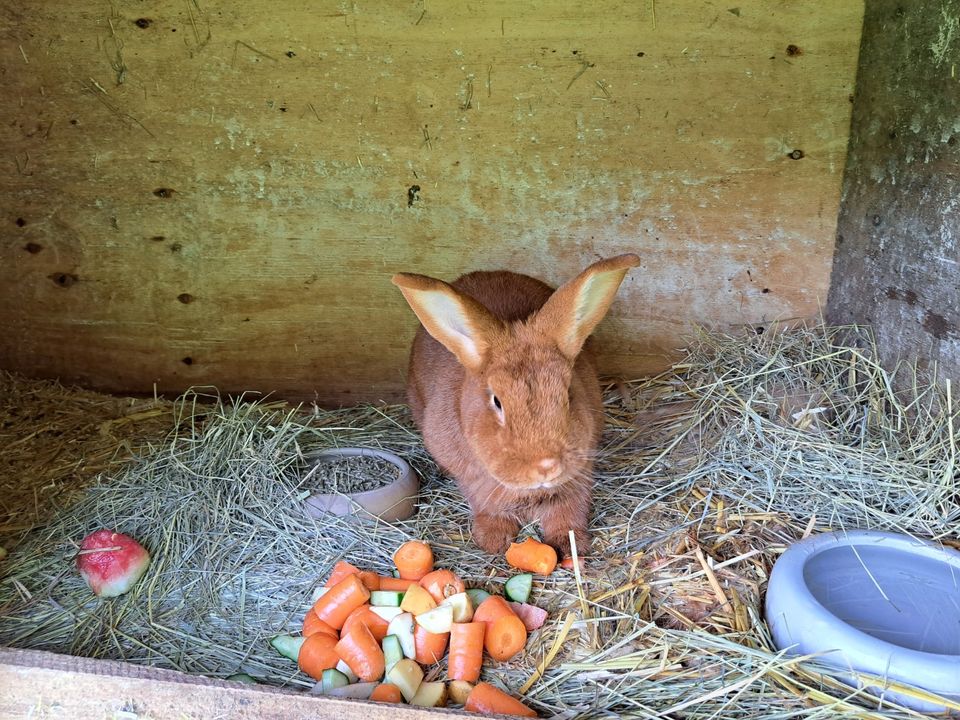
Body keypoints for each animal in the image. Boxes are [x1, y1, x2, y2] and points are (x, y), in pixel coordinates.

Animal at [390, 253, 636, 556]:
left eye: (568, 394)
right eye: (497, 401)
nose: (546, 466)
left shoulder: (578, 477)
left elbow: (569, 511)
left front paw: (569, 544)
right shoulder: (476, 483)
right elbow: (488, 507)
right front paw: (494, 540)